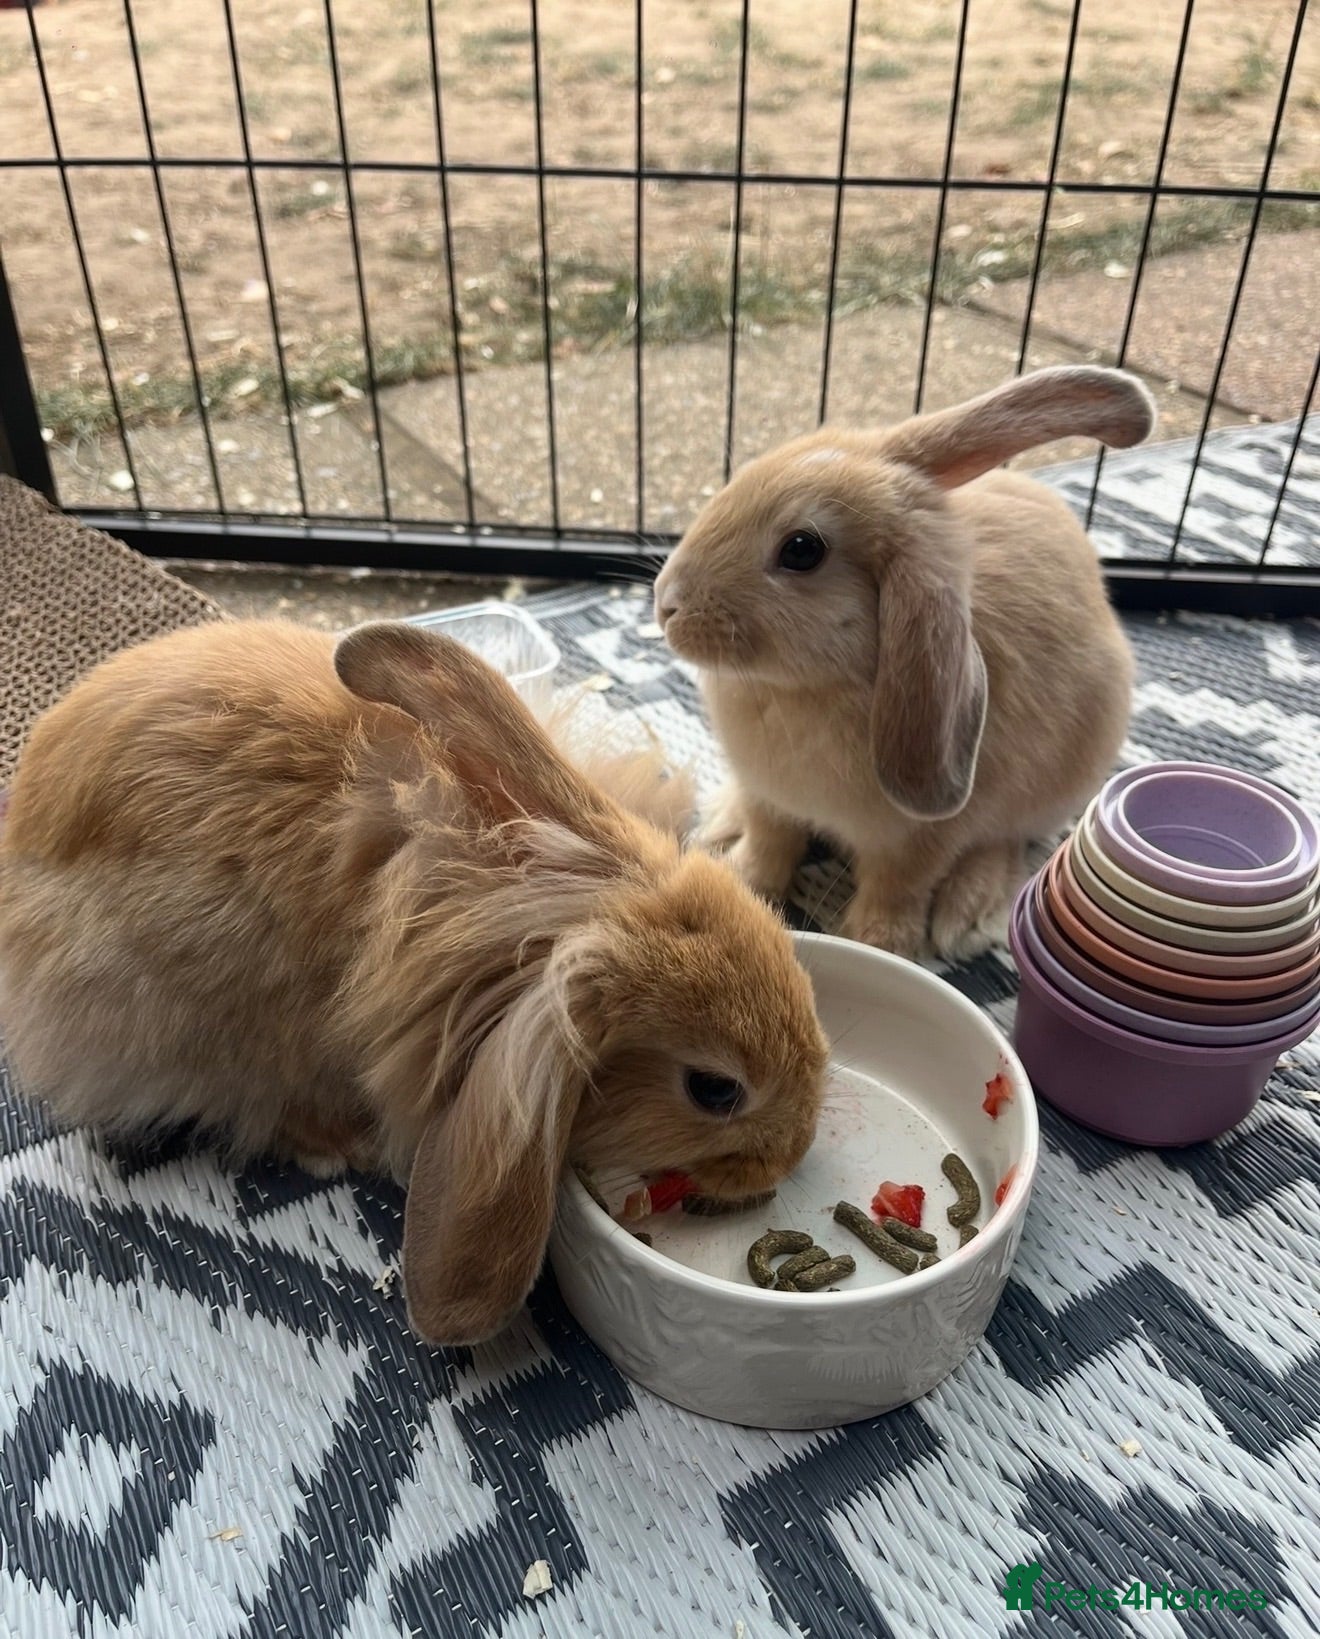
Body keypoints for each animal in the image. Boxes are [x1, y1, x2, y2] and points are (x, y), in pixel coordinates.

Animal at [653, 365, 1151, 961]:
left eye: (801, 549)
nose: (666, 604)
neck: (806, 690)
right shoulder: (769, 800)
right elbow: (769, 847)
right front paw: (737, 885)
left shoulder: (917, 841)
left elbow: (896, 890)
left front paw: (882, 946)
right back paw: (719, 822)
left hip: (1059, 779)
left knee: (1008, 838)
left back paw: (969, 914)